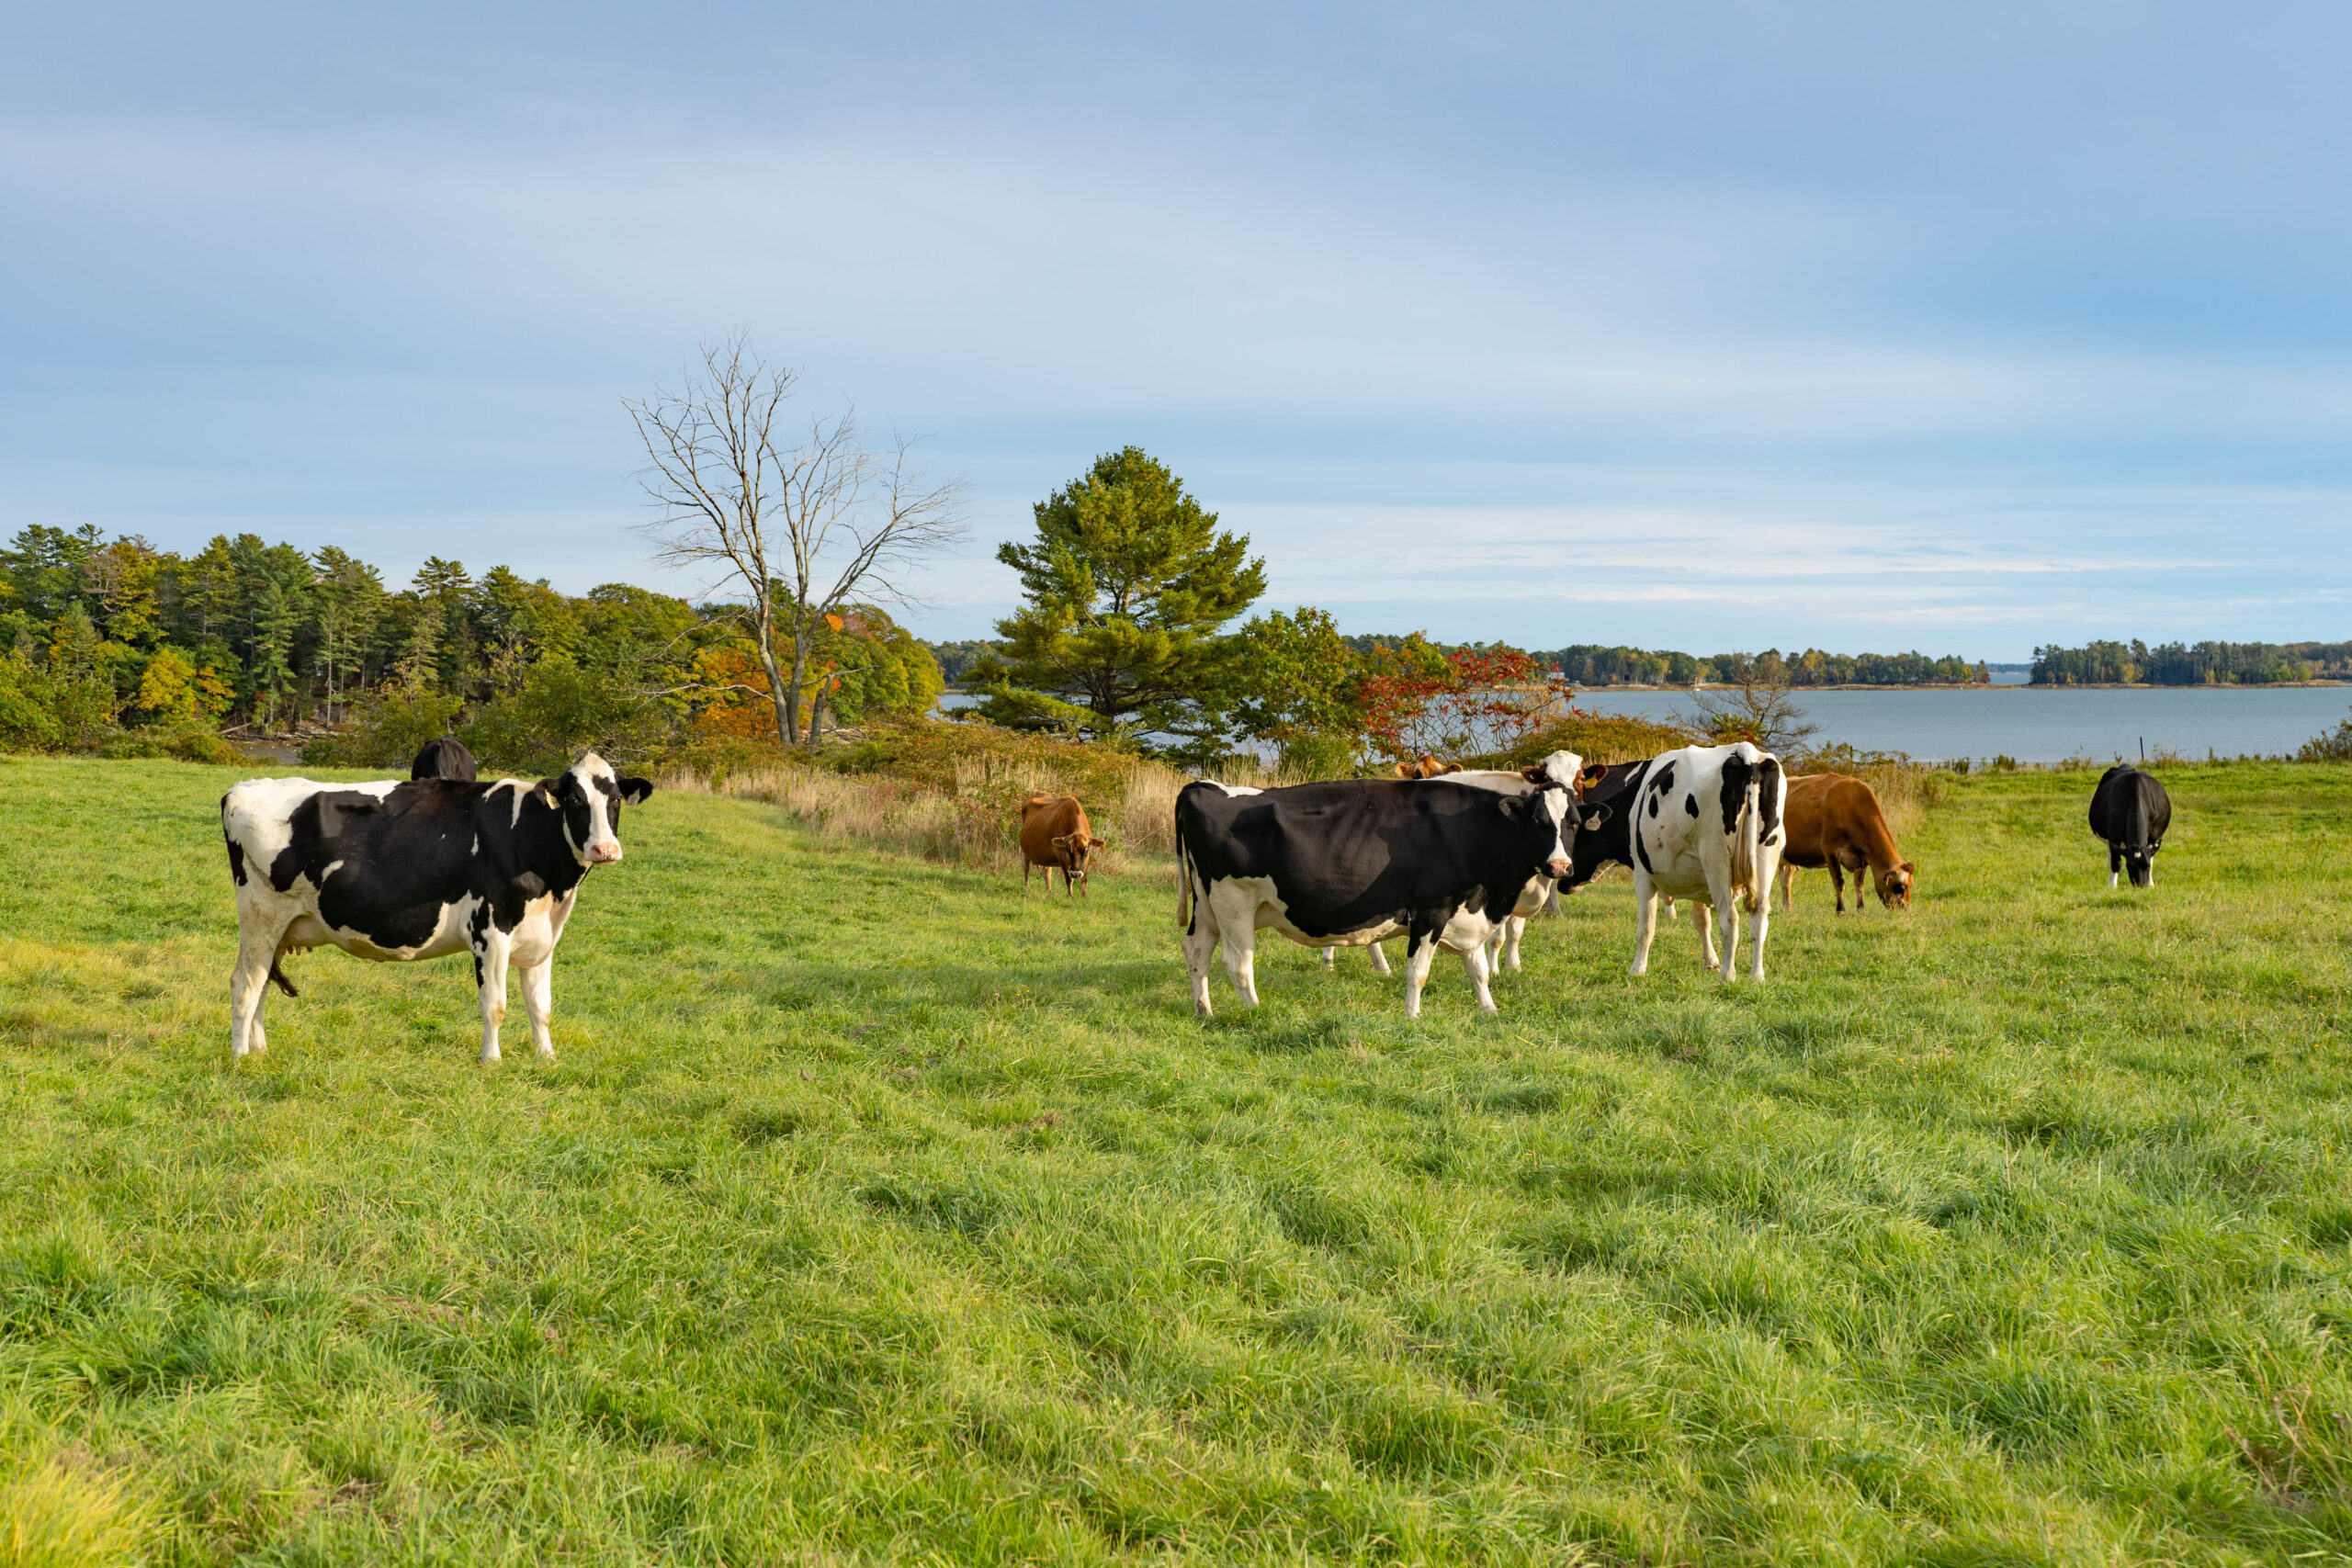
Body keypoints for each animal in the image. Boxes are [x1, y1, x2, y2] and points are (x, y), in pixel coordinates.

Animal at [220, 752, 652, 1062]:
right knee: (246, 984)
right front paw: (492, 1061)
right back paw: (241, 1056)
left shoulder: (541, 938)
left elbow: (540, 1006)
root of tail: (242, 789)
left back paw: (260, 1051)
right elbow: (495, 1004)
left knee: (260, 984)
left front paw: (546, 1057)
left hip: (279, 927)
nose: (605, 849)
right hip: (261, 916)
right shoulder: (490, 930)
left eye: (615, 800)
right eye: (575, 800)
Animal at [1174, 752, 1608, 1018]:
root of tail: (1202, 786)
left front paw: (1489, 1010)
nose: (1559, 866)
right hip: (1234, 905)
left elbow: (1479, 969)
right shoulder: (1431, 910)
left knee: (1197, 952)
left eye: (1572, 822)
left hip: (1208, 907)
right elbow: (1418, 971)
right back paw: (1255, 1011)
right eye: (1537, 821)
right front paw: (1412, 1016)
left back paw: (1204, 1011)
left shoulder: (1470, 911)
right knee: (1238, 963)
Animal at [1625, 742, 1786, 983]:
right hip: (1765, 856)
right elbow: (1702, 921)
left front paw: (1637, 969)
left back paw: (1728, 976)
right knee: (1759, 917)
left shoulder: (1642, 873)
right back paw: (1756, 975)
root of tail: (1745, 750)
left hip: (1716, 858)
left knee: (1730, 918)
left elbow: (1646, 925)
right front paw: (1710, 962)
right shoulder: (1700, 880)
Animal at [1773, 773, 1915, 913]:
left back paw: (1787, 909)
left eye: (1910, 886)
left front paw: (1861, 909)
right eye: (1901, 888)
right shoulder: (1830, 851)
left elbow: (1859, 884)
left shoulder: (1862, 856)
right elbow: (1839, 882)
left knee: (1785, 880)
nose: (1906, 910)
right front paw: (1840, 910)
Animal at [2089, 763, 2171, 888]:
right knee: (2110, 857)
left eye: (2146, 866)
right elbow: (2116, 862)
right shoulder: (2113, 837)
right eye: (2129, 866)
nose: (2140, 885)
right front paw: (2112, 886)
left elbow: (2151, 858)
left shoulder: (2153, 838)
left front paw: (2150, 884)